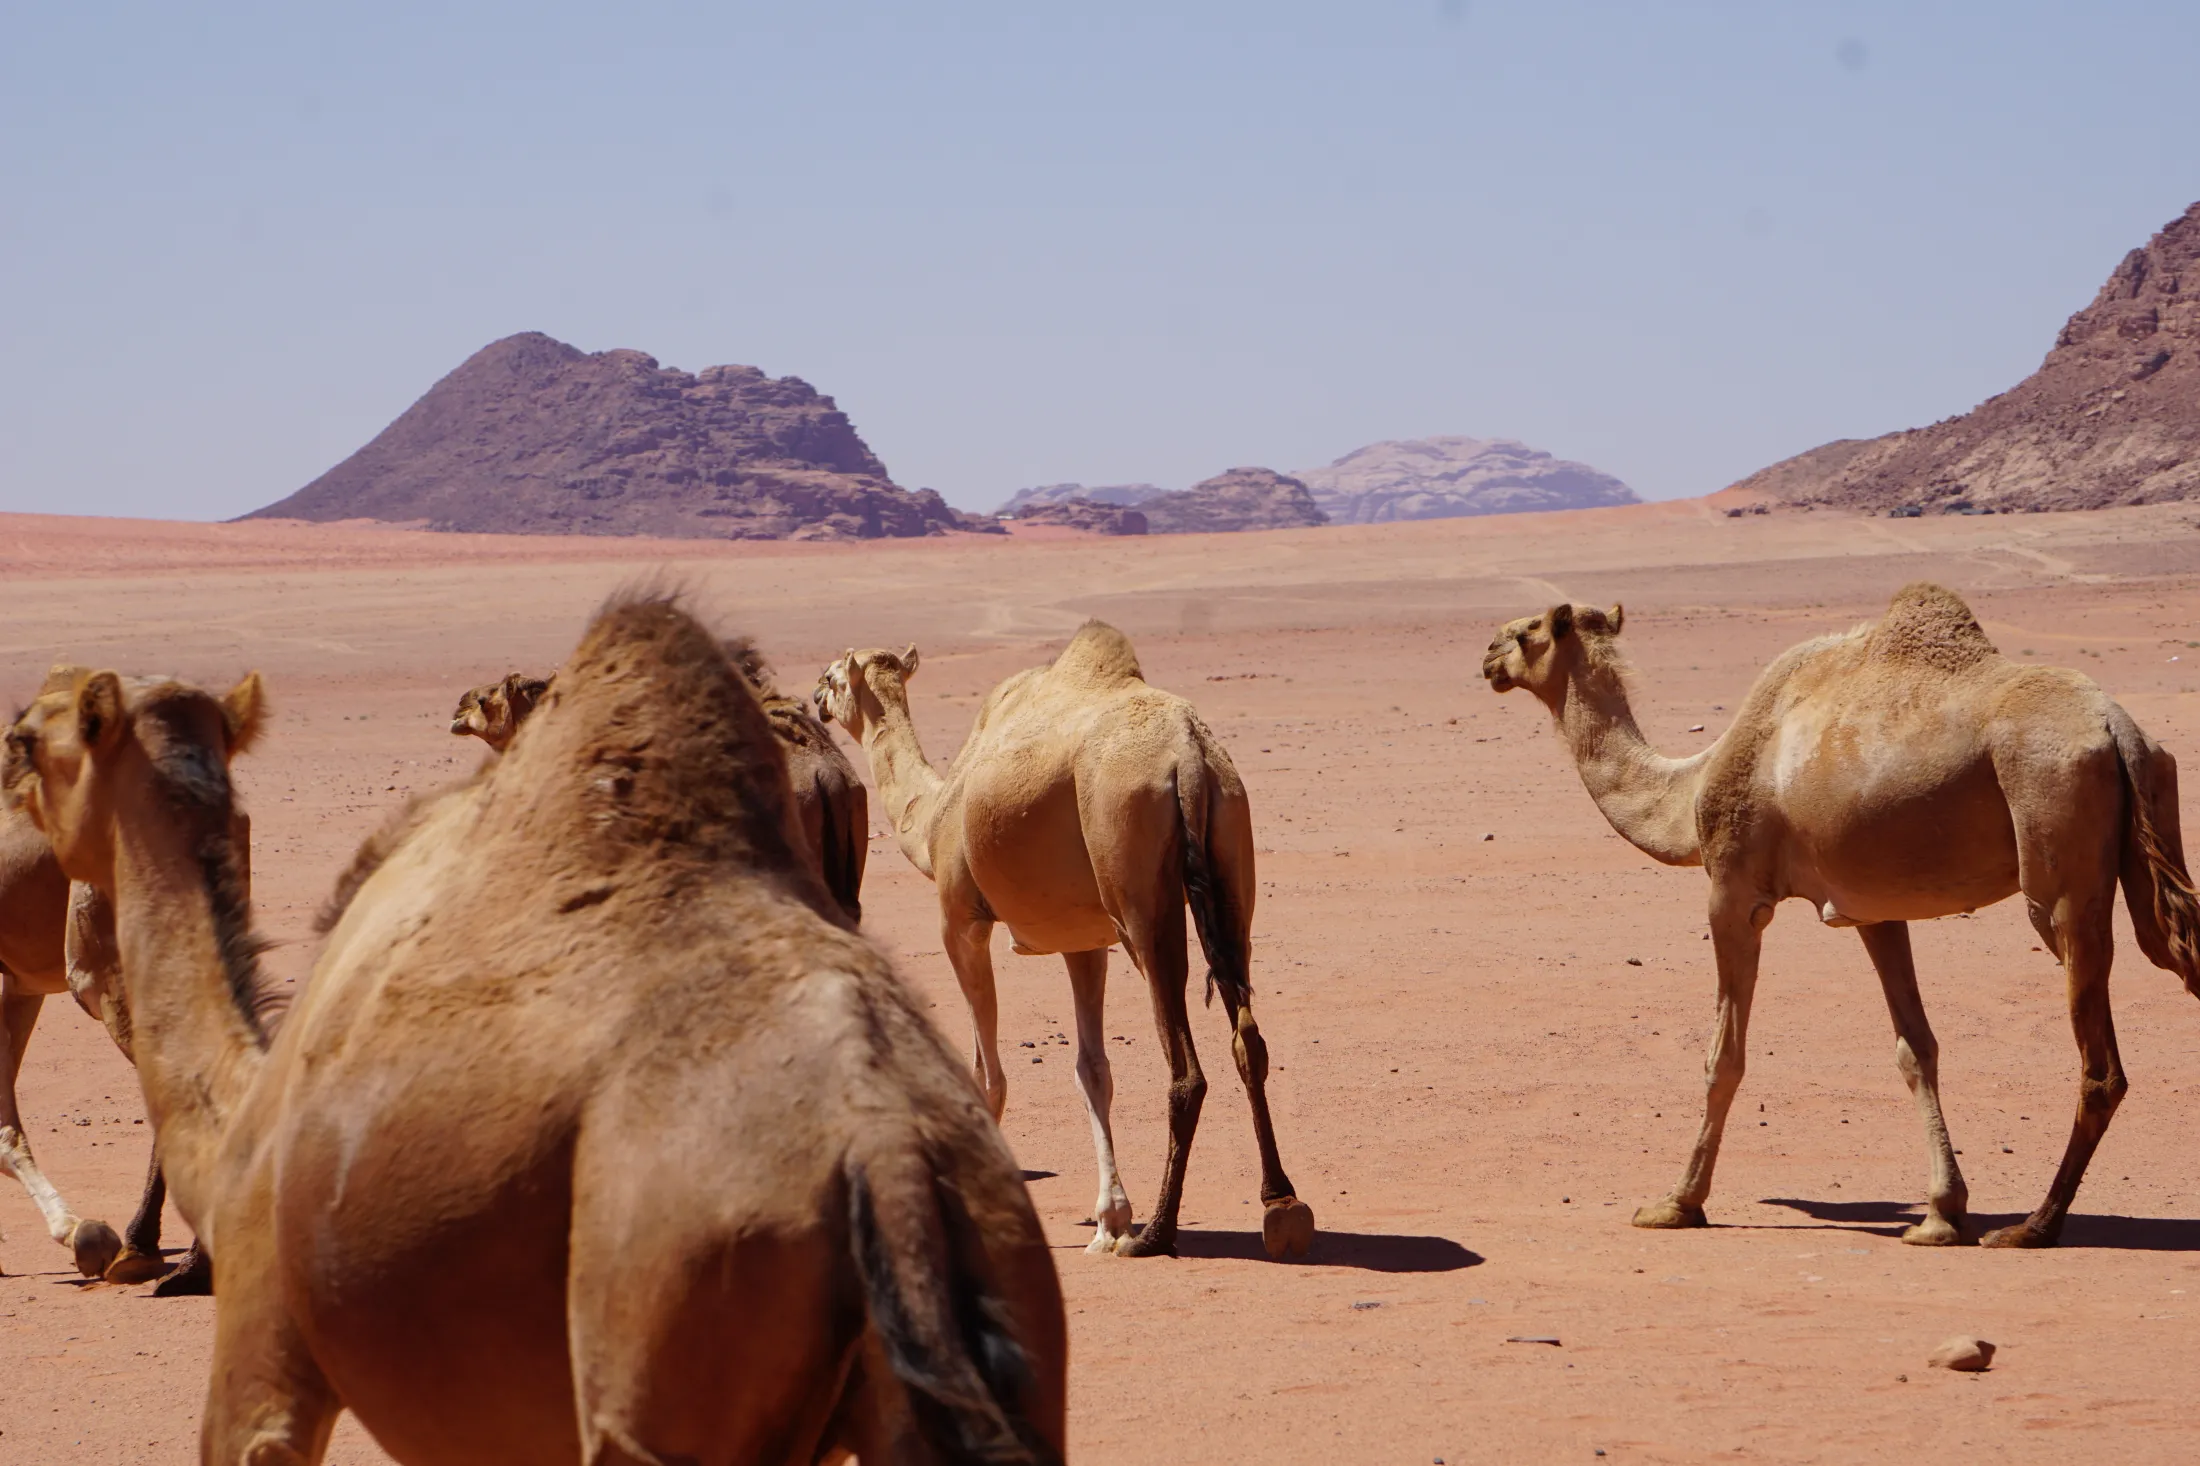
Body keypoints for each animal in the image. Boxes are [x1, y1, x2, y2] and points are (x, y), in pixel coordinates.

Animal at [813, 621, 1314, 1261]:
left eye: (832, 675)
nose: (814, 697)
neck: (930, 822)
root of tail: (1188, 756)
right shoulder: (1084, 942)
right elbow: (1092, 1069)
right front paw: (1108, 1219)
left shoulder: (961, 922)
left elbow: (988, 1074)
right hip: (1232, 854)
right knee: (1248, 1038)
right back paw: (1281, 1206)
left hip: (1135, 881)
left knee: (1185, 1067)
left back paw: (1156, 1233)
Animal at [1483, 582, 2200, 1248]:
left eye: (1527, 632)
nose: (1488, 655)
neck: (1690, 789)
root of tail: (2118, 730)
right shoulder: (1875, 909)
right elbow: (1916, 1048)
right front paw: (1941, 1212)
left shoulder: (1734, 890)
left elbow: (1725, 1056)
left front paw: (1676, 1203)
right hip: (2150, 828)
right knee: (2173, 956)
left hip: (2055, 845)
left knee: (2100, 1062)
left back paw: (2034, 1225)